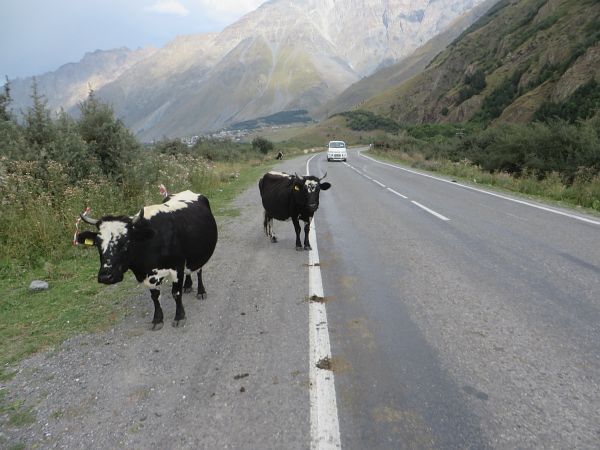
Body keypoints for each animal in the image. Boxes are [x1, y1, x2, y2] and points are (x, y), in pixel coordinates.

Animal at [76, 190, 218, 330]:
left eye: (126, 242)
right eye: (97, 244)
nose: (106, 277)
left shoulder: (177, 267)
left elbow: (176, 293)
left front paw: (179, 317)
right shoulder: (149, 276)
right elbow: (155, 297)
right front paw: (158, 319)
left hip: (201, 252)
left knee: (198, 270)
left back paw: (201, 291)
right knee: (188, 270)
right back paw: (188, 285)